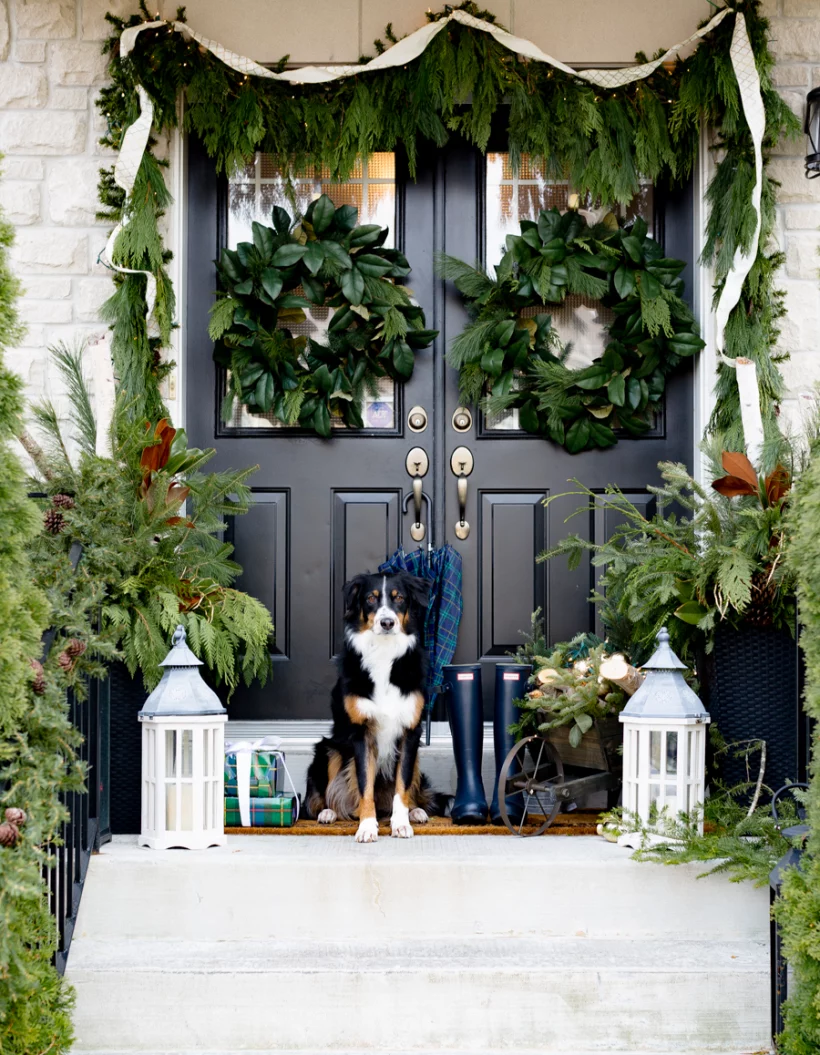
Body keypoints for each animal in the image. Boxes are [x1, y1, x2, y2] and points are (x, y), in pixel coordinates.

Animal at [303, 573, 445, 843]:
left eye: (399, 598)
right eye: (370, 598)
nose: (387, 622)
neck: (384, 652)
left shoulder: (410, 733)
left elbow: (402, 786)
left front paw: (400, 823)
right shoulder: (362, 733)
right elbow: (364, 784)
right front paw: (367, 826)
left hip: (416, 757)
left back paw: (416, 811)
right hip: (329, 749)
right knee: (319, 799)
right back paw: (328, 812)